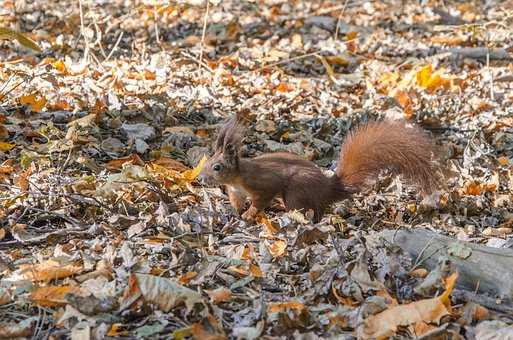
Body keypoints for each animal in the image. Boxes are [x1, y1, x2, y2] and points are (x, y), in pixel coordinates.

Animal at [200, 113, 436, 222]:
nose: (201, 179)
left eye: (217, 167)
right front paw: (234, 212)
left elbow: (260, 201)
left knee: (309, 210)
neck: (237, 178)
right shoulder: (235, 191)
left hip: (295, 191)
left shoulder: (263, 184)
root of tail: (328, 188)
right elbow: (236, 202)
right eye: (208, 162)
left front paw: (249, 214)